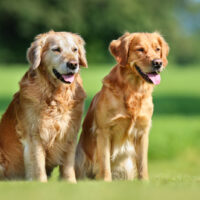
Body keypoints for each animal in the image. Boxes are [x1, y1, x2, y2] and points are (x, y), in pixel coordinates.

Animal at [0, 30, 87, 182]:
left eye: (75, 50)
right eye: (56, 49)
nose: (73, 64)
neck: (55, 95)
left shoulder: (70, 134)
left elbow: (68, 166)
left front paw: (70, 183)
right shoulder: (34, 135)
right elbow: (38, 165)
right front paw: (41, 183)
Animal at [76, 31, 170, 181]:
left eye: (157, 49)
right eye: (140, 49)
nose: (158, 63)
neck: (133, 90)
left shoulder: (143, 132)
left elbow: (143, 164)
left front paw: (145, 182)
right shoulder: (104, 131)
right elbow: (105, 164)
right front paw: (106, 181)